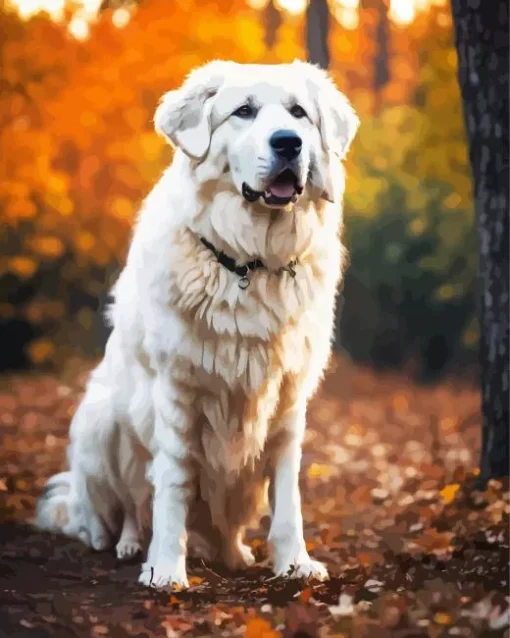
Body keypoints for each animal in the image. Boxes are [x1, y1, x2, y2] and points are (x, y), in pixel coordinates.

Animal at [35, 60, 358, 592]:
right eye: (244, 111)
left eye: (299, 114)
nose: (288, 143)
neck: (250, 262)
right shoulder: (177, 392)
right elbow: (171, 484)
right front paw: (166, 568)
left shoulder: (288, 397)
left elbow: (287, 492)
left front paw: (294, 562)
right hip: (102, 420)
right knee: (116, 508)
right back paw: (124, 543)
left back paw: (233, 554)